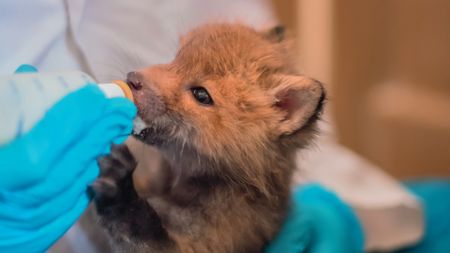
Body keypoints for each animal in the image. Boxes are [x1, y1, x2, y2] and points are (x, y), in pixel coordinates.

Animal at [92, 22, 324, 252]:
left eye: (201, 95)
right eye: (176, 58)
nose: (132, 79)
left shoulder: (210, 240)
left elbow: (137, 226)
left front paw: (118, 184)